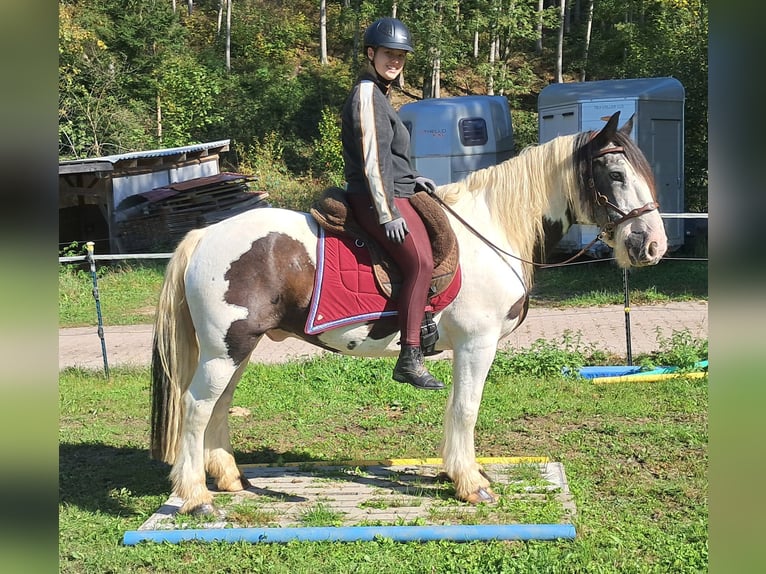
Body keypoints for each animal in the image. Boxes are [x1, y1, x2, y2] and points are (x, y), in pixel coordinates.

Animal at [148, 110, 664, 516]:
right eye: (615, 174)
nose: (652, 245)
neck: (491, 229)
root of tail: (203, 236)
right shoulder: (477, 344)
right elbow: (467, 408)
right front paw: (471, 485)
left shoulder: (466, 348)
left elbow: (456, 408)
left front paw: (456, 474)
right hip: (226, 349)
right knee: (196, 408)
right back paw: (195, 496)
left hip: (237, 349)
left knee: (218, 406)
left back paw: (228, 478)